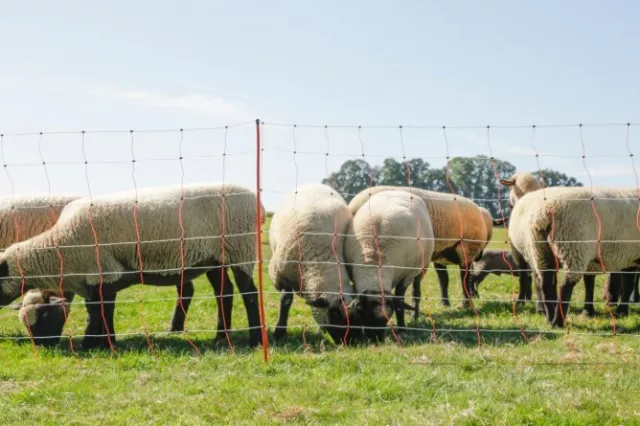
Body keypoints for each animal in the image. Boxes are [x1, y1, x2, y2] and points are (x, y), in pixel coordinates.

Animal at [0, 181, 264, 352]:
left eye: (43, 316)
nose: (42, 347)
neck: (59, 252)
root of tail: (255, 199)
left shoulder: (101, 271)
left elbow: (97, 311)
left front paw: (92, 343)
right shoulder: (101, 278)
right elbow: (104, 310)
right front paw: (106, 341)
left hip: (242, 247)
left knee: (249, 294)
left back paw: (255, 340)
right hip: (216, 258)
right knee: (224, 293)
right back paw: (220, 337)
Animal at [268, 182, 360, 342]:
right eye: (334, 313)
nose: (350, 342)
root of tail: (314, 183)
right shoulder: (280, 275)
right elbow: (286, 300)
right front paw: (279, 332)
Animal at [348, 185, 488, 312]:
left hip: (466, 249)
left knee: (464, 277)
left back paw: (466, 303)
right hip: (442, 254)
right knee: (445, 279)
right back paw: (446, 303)